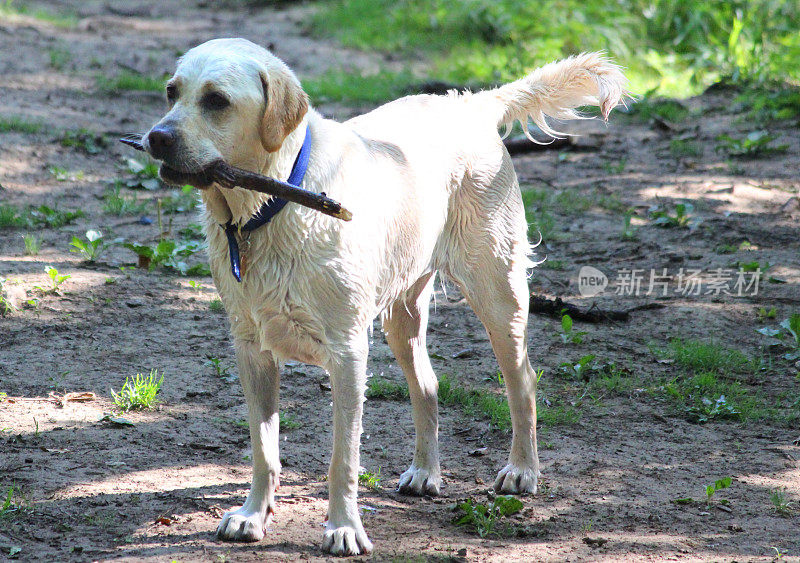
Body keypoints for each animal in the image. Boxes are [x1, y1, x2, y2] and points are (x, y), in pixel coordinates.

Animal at [144, 38, 628, 556]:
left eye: (216, 100)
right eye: (172, 92)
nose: (156, 137)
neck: (269, 207)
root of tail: (470, 102)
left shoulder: (348, 353)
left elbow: (342, 460)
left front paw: (343, 527)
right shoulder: (252, 350)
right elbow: (263, 449)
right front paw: (253, 515)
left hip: (498, 294)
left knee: (524, 382)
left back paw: (522, 470)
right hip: (402, 315)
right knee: (429, 386)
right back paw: (425, 472)